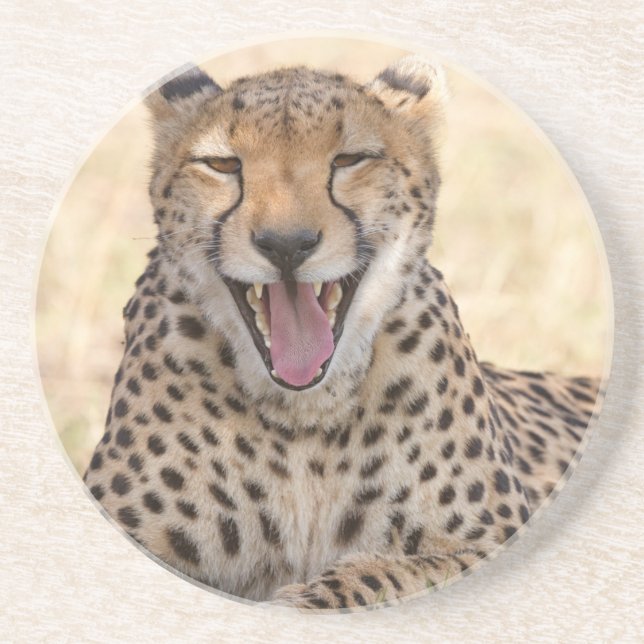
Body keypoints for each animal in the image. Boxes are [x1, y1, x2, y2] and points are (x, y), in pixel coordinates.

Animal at [82, 57, 602, 610]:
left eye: (351, 159)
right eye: (222, 165)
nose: (286, 244)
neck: (304, 417)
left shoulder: (481, 543)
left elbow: (373, 577)